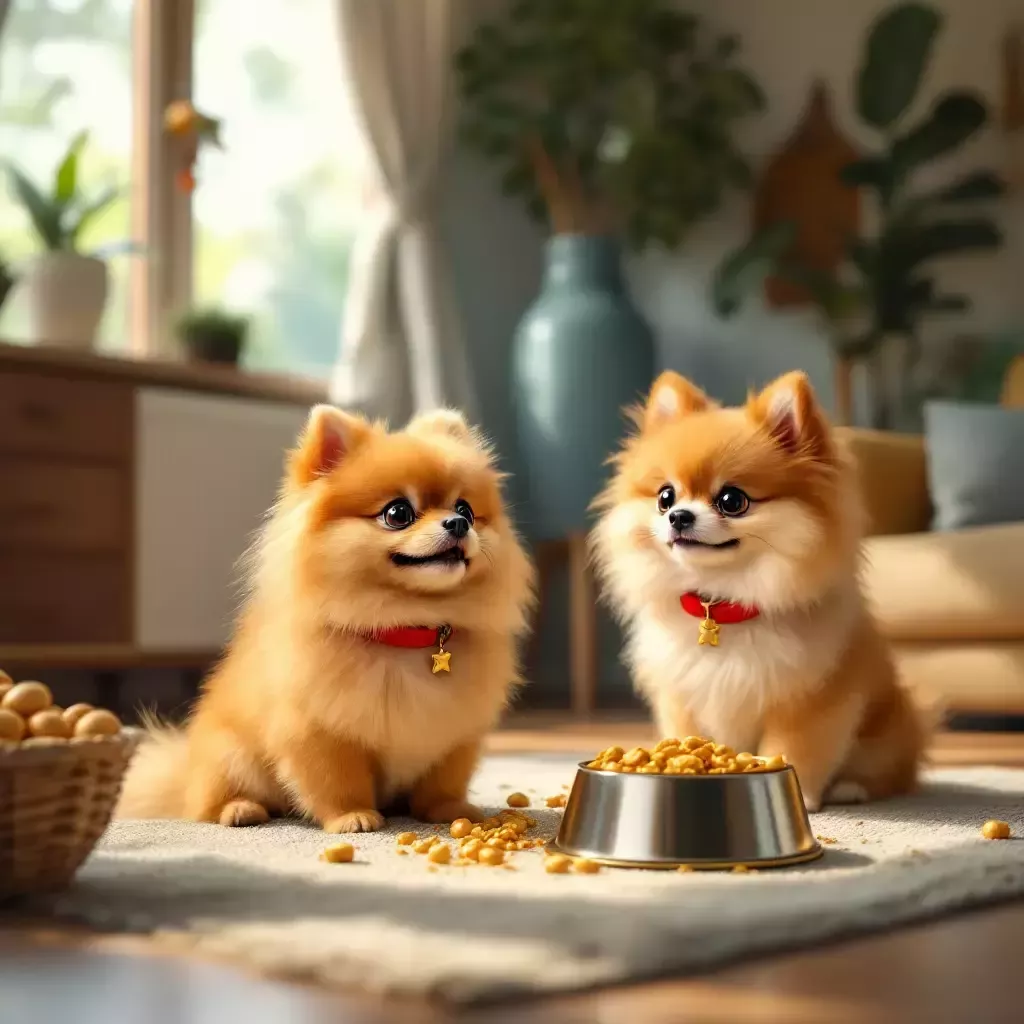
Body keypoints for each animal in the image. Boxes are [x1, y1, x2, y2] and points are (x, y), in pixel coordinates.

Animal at [118, 403, 532, 827]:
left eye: (466, 509)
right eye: (398, 513)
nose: (459, 523)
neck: (404, 627)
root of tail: (185, 774)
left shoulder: (456, 734)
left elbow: (444, 780)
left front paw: (449, 810)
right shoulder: (319, 732)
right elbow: (337, 780)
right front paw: (353, 816)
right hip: (231, 755)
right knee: (208, 803)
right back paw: (238, 808)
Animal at [589, 368, 925, 806]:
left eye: (732, 500)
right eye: (665, 497)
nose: (678, 516)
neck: (725, 603)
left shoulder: (811, 701)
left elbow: (796, 748)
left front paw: (804, 799)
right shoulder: (683, 696)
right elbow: (687, 736)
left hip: (886, 733)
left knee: (893, 775)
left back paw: (851, 788)